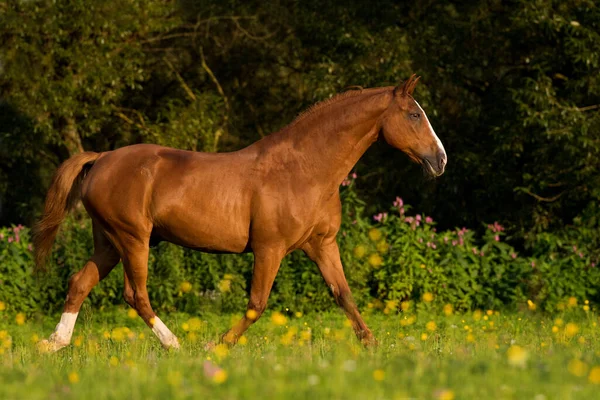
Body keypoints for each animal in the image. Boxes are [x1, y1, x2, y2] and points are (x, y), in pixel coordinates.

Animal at [32, 74, 446, 350]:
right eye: (414, 115)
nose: (440, 160)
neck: (304, 169)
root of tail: (101, 158)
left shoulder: (322, 244)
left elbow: (343, 295)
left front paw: (372, 346)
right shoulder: (269, 249)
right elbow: (257, 305)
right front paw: (217, 346)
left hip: (108, 242)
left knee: (80, 282)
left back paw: (54, 343)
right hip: (132, 239)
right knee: (136, 295)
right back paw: (174, 345)